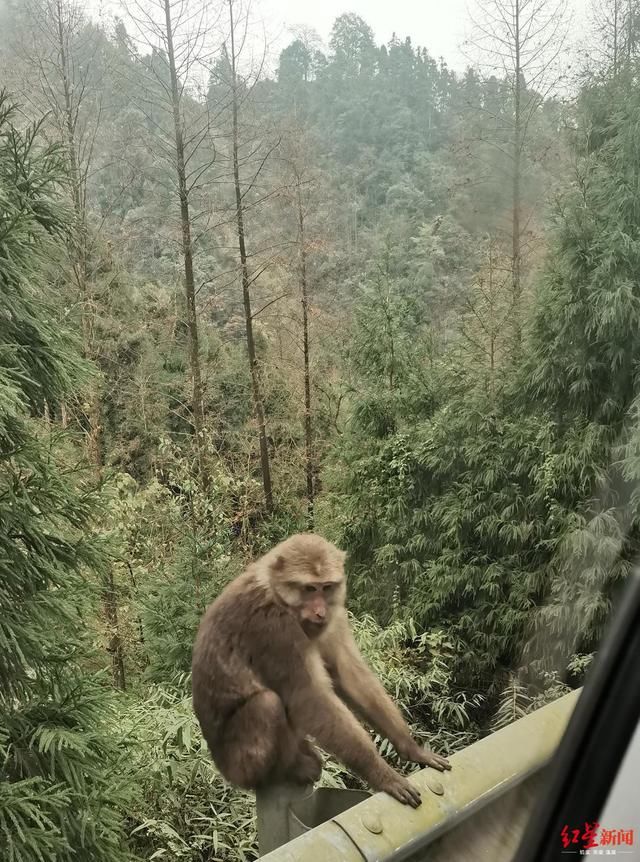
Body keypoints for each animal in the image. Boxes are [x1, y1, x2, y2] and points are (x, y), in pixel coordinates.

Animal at [190, 532, 450, 808]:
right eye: (308, 589)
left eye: (326, 587)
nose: (319, 612)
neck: (277, 594)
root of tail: (222, 769)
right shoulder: (274, 628)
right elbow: (309, 698)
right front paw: (384, 774)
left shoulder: (335, 616)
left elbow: (348, 675)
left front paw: (413, 749)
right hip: (241, 765)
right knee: (267, 704)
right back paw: (286, 771)